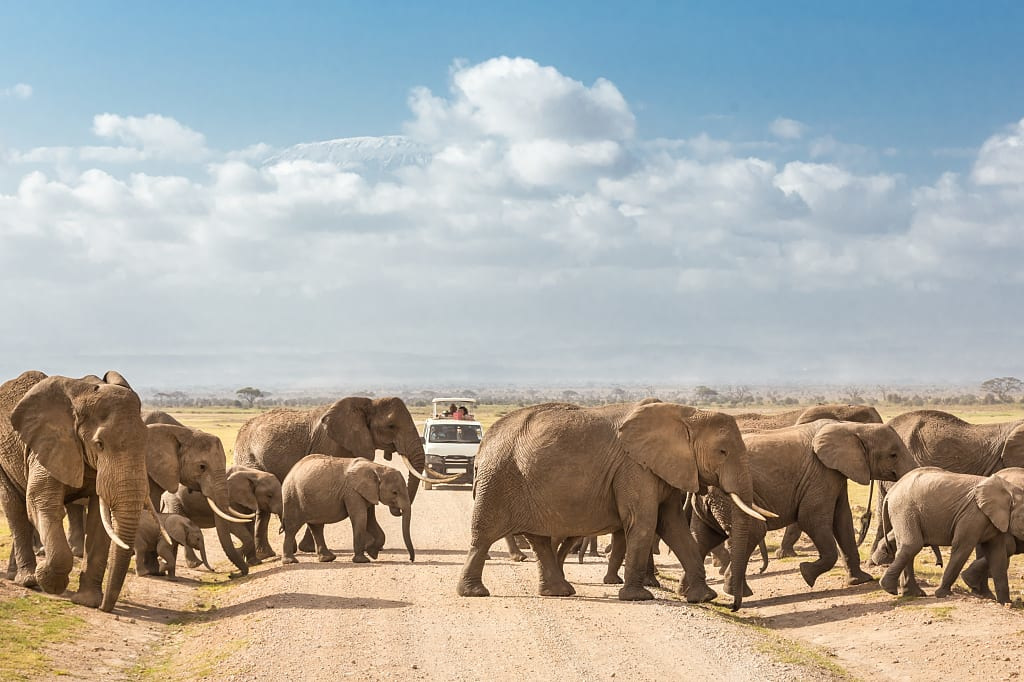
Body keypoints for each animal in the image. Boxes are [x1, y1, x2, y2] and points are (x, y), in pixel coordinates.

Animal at [0, 370, 149, 612]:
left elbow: (99, 519)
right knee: (15, 508)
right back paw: (28, 580)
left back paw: (17, 577)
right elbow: (42, 502)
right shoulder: (49, 443)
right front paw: (47, 578)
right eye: (99, 444)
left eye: (147, 441)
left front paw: (88, 602)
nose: (105, 608)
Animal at [281, 456, 414, 564]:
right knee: (292, 527)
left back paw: (327, 558)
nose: (411, 560)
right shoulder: (352, 492)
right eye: (395, 492)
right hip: (292, 497)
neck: (377, 468)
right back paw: (291, 561)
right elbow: (361, 518)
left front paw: (372, 553)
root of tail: (290, 471)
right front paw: (363, 560)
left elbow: (370, 521)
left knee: (317, 527)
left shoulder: (368, 493)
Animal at [457, 401, 772, 610]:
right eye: (722, 451)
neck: (687, 414)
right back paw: (474, 593)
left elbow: (672, 526)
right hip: (498, 479)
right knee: (483, 536)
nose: (734, 606)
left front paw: (704, 597)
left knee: (539, 539)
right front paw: (638, 597)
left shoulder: (663, 469)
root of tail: (483, 444)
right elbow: (644, 523)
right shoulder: (634, 468)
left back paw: (559, 591)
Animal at [690, 420, 915, 598]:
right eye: (893, 455)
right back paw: (737, 593)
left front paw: (861, 580)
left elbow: (842, 520)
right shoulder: (820, 473)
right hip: (727, 496)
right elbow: (812, 519)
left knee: (704, 536)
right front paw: (806, 573)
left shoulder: (835, 474)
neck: (852, 427)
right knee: (752, 531)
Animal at [874, 467, 1024, 603]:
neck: (1010, 490)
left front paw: (1006, 603)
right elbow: (962, 548)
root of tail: (892, 490)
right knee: (912, 545)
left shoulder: (996, 521)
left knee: (908, 547)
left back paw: (913, 593)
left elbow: (998, 554)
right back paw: (890, 589)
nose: (939, 564)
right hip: (904, 509)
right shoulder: (973, 515)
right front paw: (943, 594)